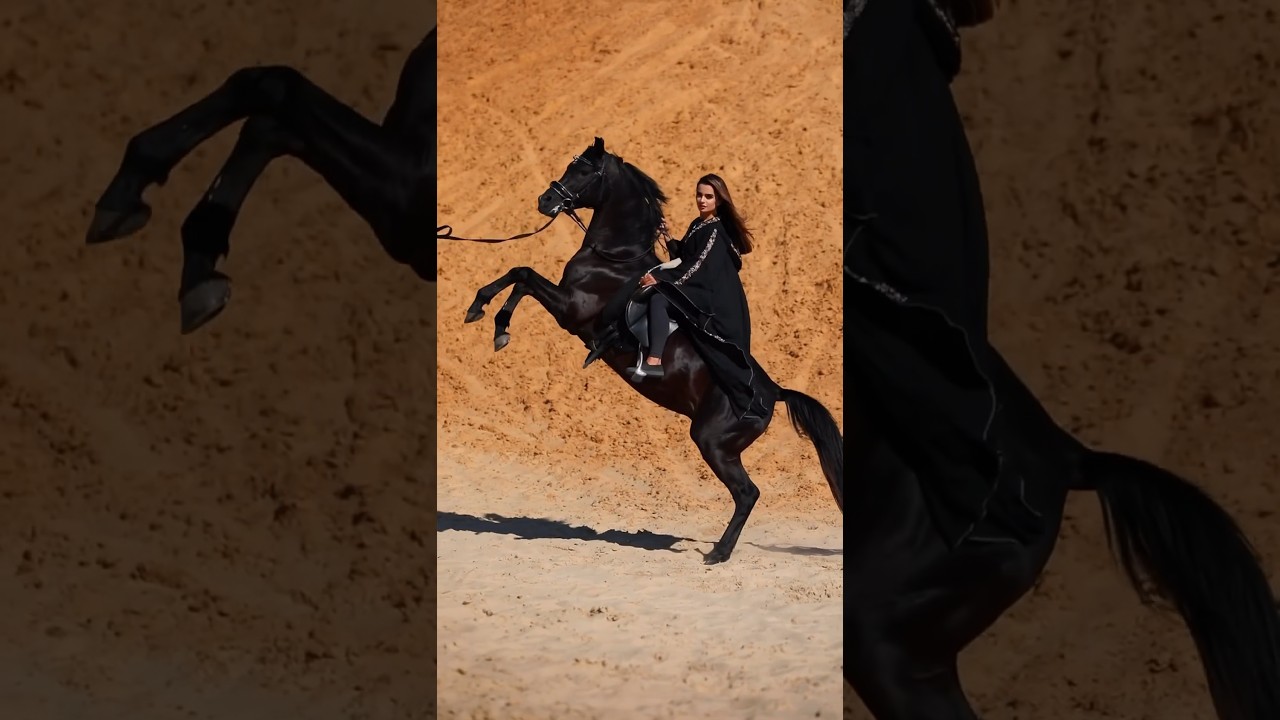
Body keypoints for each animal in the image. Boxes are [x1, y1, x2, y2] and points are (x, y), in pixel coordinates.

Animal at [458, 137, 843, 565]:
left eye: (583, 171)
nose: (545, 200)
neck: (613, 257)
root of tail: (773, 392)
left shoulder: (570, 309)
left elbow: (523, 274)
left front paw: (491, 318)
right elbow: (520, 275)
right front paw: (489, 318)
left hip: (712, 442)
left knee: (748, 493)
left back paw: (718, 553)